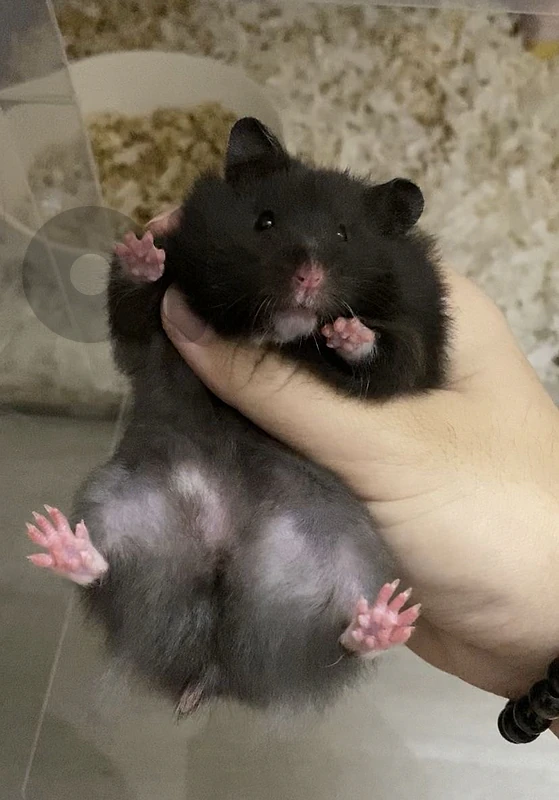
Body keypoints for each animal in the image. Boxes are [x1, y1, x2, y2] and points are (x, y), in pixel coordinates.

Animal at [25, 117, 444, 717]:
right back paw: (61, 543)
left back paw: (381, 622)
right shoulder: (145, 332)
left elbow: (390, 359)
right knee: (106, 575)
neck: (279, 334)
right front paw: (142, 251)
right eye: (264, 221)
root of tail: (215, 663)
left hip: (352, 558)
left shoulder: (418, 352)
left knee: (338, 642)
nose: (308, 279)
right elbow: (134, 301)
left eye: (345, 236)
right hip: (120, 500)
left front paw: (345, 331)